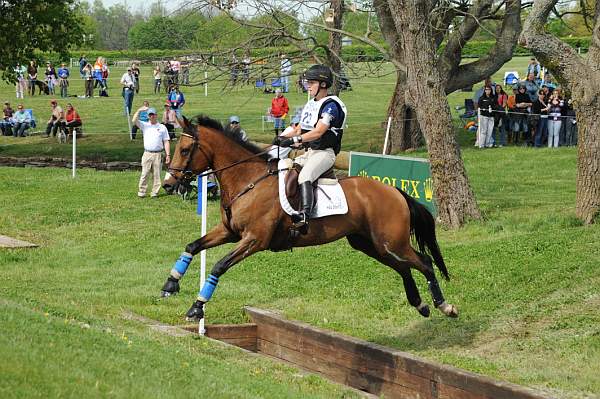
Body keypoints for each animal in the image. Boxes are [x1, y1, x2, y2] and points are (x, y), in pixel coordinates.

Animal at [162, 115, 458, 322]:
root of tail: (394, 190)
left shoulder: (254, 240)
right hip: (369, 244)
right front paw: (171, 283)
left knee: (425, 262)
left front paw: (197, 307)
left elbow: (218, 266)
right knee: (403, 267)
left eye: (185, 150)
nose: (167, 184)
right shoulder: (229, 232)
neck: (248, 181)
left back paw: (444, 306)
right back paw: (420, 304)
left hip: (391, 242)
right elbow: (192, 246)